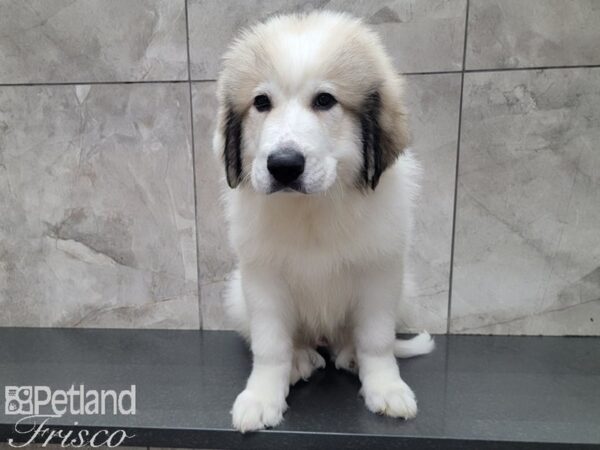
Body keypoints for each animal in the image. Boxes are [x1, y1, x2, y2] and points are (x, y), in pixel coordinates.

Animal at [213, 10, 434, 432]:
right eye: (261, 102)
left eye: (325, 100)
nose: (283, 166)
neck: (312, 208)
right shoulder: (262, 278)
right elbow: (270, 346)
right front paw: (261, 397)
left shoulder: (380, 273)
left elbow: (377, 340)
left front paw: (387, 388)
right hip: (236, 295)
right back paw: (301, 358)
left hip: (405, 289)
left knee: (353, 338)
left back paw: (348, 355)